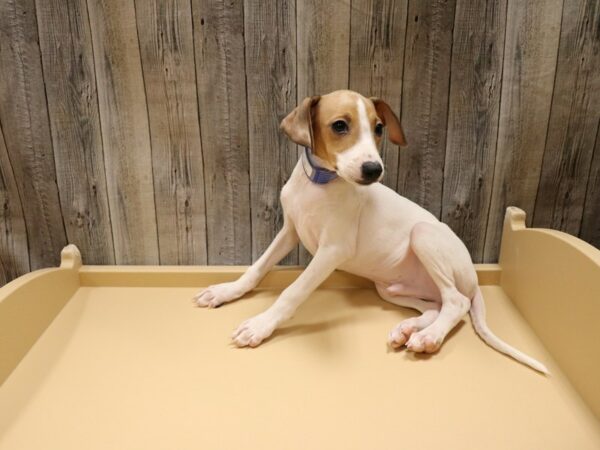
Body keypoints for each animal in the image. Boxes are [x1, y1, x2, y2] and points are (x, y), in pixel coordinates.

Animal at [193, 89, 548, 374]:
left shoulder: (332, 250)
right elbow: (257, 268)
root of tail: (475, 281)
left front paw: (260, 325)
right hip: (389, 289)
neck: (320, 184)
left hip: (424, 236)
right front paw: (225, 291)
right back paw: (407, 330)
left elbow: (293, 291)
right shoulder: (290, 230)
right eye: (339, 125)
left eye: (379, 128)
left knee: (456, 303)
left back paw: (428, 337)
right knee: (436, 307)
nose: (373, 170)